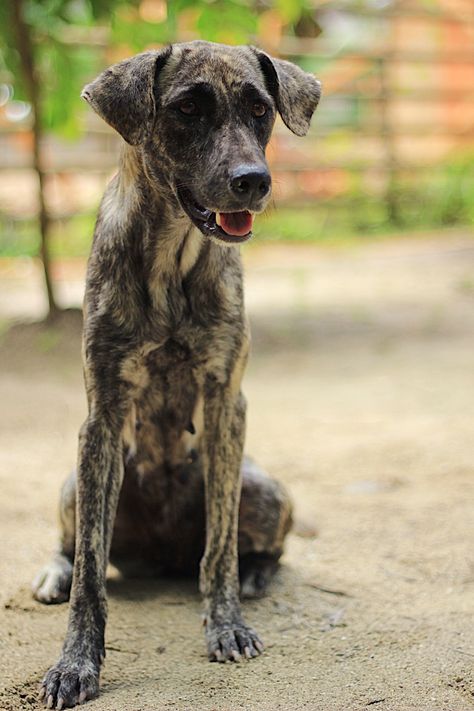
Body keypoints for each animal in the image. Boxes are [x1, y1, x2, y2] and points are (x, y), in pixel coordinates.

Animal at [33, 41, 320, 708]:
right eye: (188, 108)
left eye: (260, 109)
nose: (253, 181)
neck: (171, 255)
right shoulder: (102, 417)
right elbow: (90, 572)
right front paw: (76, 661)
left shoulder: (225, 403)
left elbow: (219, 546)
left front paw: (227, 622)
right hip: (74, 484)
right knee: (71, 546)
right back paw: (54, 573)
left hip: (260, 486)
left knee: (254, 541)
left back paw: (256, 575)